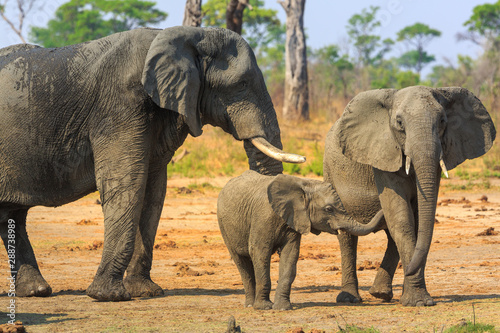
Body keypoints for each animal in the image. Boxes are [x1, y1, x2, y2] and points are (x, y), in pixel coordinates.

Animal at [0, 26, 304, 300]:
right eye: (241, 84)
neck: (189, 35)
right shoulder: (119, 106)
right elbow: (128, 186)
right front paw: (108, 296)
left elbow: (153, 192)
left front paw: (144, 292)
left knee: (13, 215)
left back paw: (37, 291)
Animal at [217, 170, 384, 310]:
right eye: (329, 209)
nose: (381, 209)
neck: (303, 185)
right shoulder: (263, 218)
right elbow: (259, 253)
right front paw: (264, 307)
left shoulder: (294, 221)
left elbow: (290, 256)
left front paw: (282, 308)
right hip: (224, 225)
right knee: (241, 262)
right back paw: (251, 305)